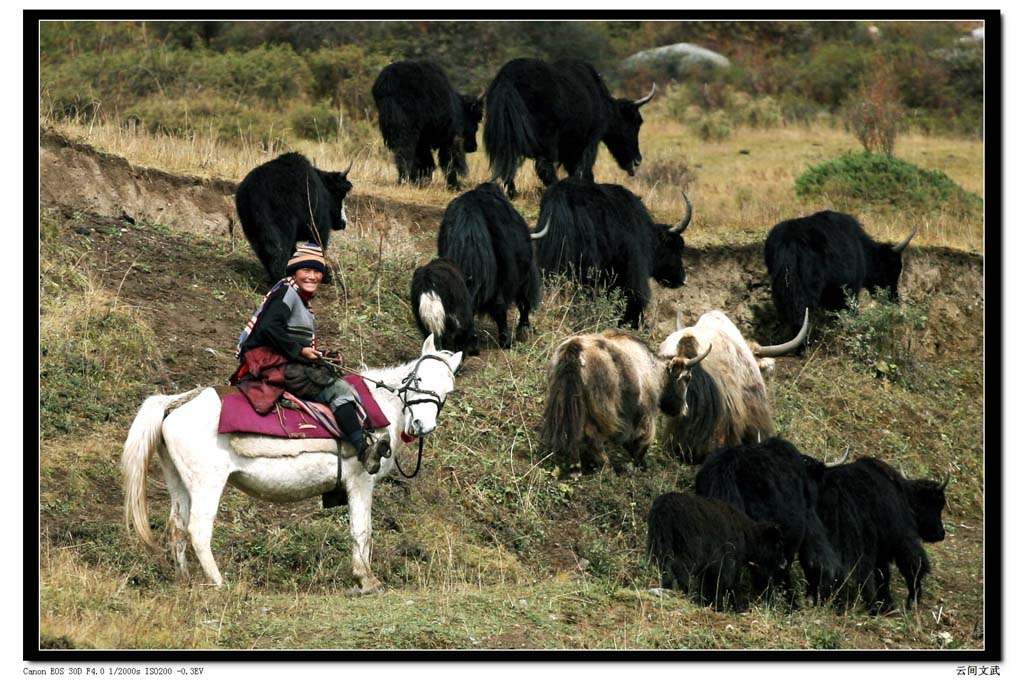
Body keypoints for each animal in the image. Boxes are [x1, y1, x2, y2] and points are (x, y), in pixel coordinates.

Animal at [119, 337, 464, 593]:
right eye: (418, 378)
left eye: (447, 391)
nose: (421, 425)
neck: (378, 407)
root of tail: (177, 401)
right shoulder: (360, 481)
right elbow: (362, 530)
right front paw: (366, 579)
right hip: (207, 484)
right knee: (198, 530)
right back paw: (218, 583)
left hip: (179, 481)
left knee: (177, 527)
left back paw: (185, 579)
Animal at [235, 151, 352, 280]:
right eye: (340, 194)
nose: (343, 223)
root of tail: (254, 193)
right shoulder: (319, 228)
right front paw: (326, 277)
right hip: (282, 229)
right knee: (278, 254)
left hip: (253, 229)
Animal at [643, 491, 786, 606]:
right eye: (778, 545)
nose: (784, 563)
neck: (746, 536)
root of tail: (664, 507)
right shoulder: (728, 556)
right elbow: (728, 580)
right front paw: (733, 606)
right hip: (690, 543)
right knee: (681, 565)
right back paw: (689, 590)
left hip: (661, 537)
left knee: (664, 564)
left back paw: (668, 588)